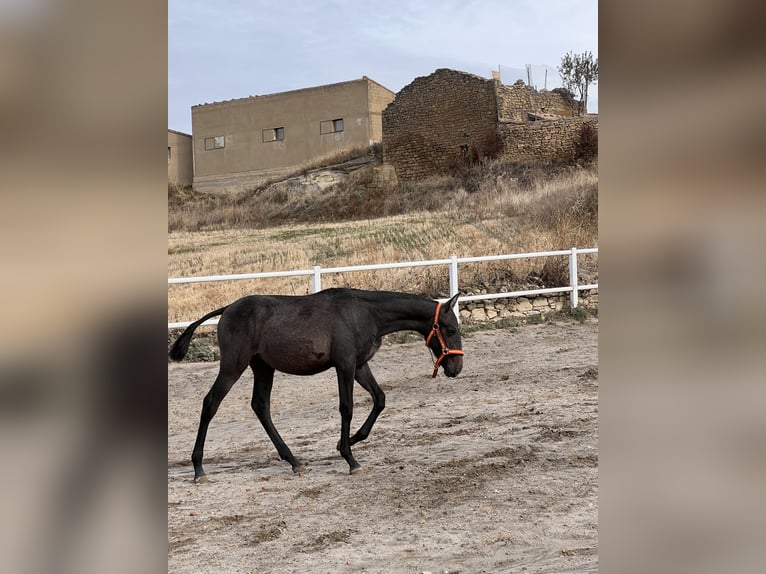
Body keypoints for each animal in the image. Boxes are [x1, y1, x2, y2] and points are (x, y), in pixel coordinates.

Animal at [169, 288, 464, 481]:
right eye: (450, 330)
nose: (456, 368)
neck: (364, 313)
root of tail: (228, 308)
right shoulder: (344, 365)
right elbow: (347, 408)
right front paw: (350, 458)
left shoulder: (359, 366)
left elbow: (379, 399)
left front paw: (350, 441)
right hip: (233, 365)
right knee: (211, 403)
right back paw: (198, 468)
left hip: (263, 368)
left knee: (260, 406)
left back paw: (294, 461)